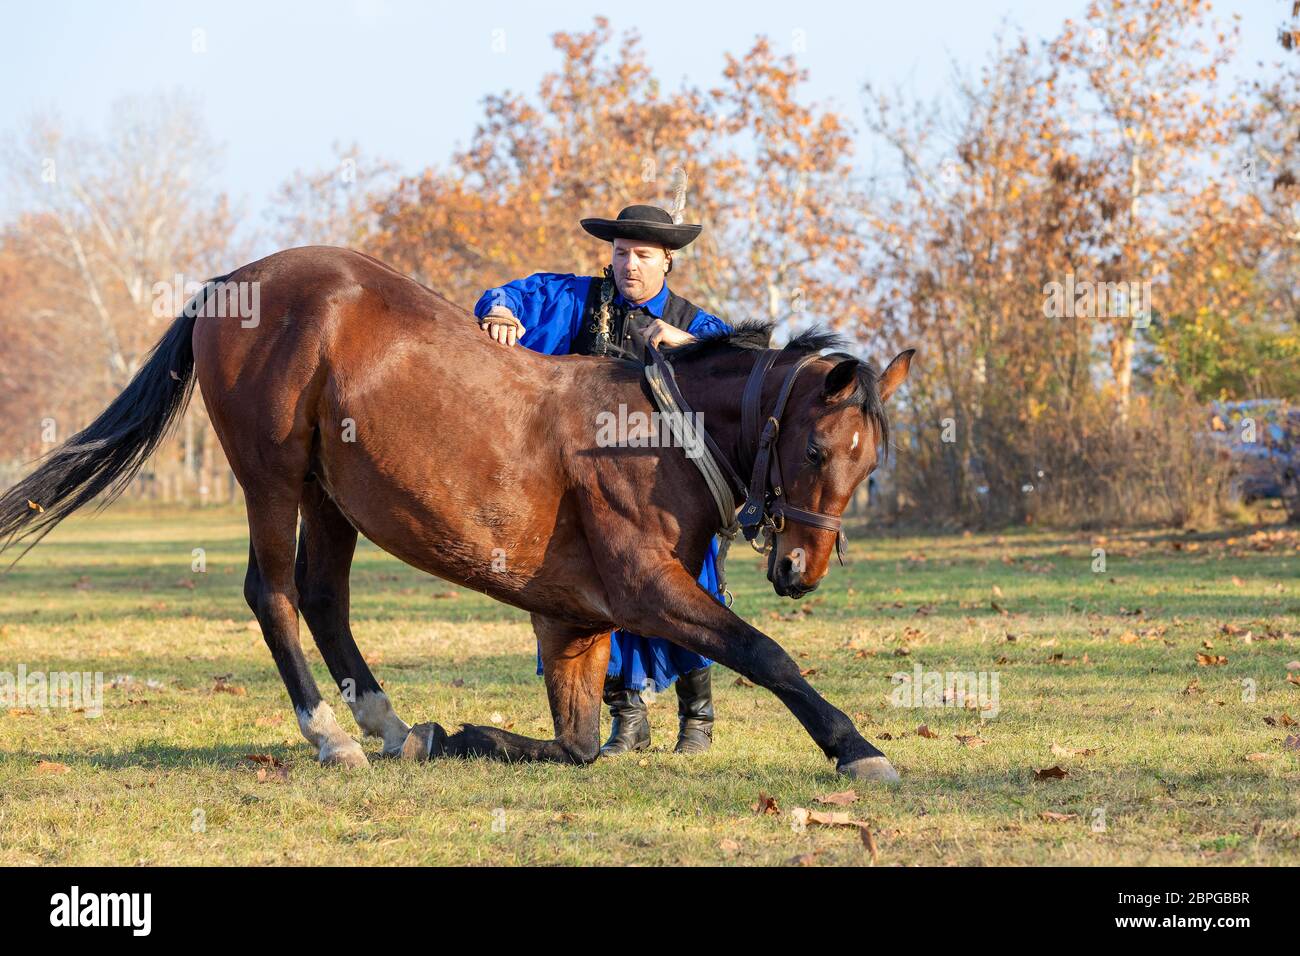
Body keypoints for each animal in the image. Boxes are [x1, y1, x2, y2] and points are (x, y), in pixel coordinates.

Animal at [0, 248, 915, 785]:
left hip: (329, 493)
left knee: (323, 598)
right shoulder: (647, 591)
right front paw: (858, 748)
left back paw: (392, 727)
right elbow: (766, 653)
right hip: (272, 473)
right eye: (816, 451)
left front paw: (469, 735)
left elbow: (580, 743)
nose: (800, 572)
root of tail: (231, 283)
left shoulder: (575, 623)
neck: (660, 429)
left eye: (869, 463)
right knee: (275, 594)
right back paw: (330, 735)